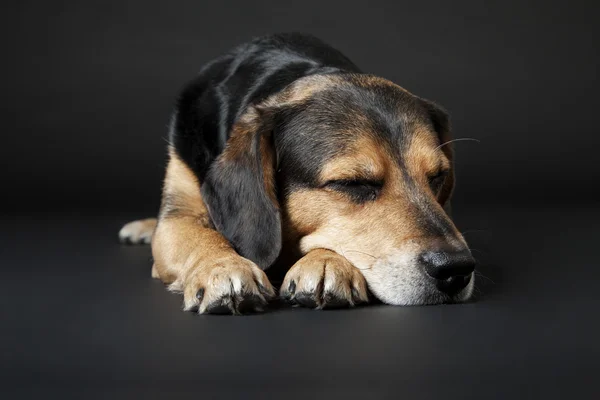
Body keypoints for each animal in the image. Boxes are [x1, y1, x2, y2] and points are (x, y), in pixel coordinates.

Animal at [118, 33, 474, 316]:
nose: (457, 268)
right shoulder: (178, 216)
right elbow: (200, 236)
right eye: (352, 183)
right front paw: (223, 266)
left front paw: (327, 263)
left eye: (438, 177)